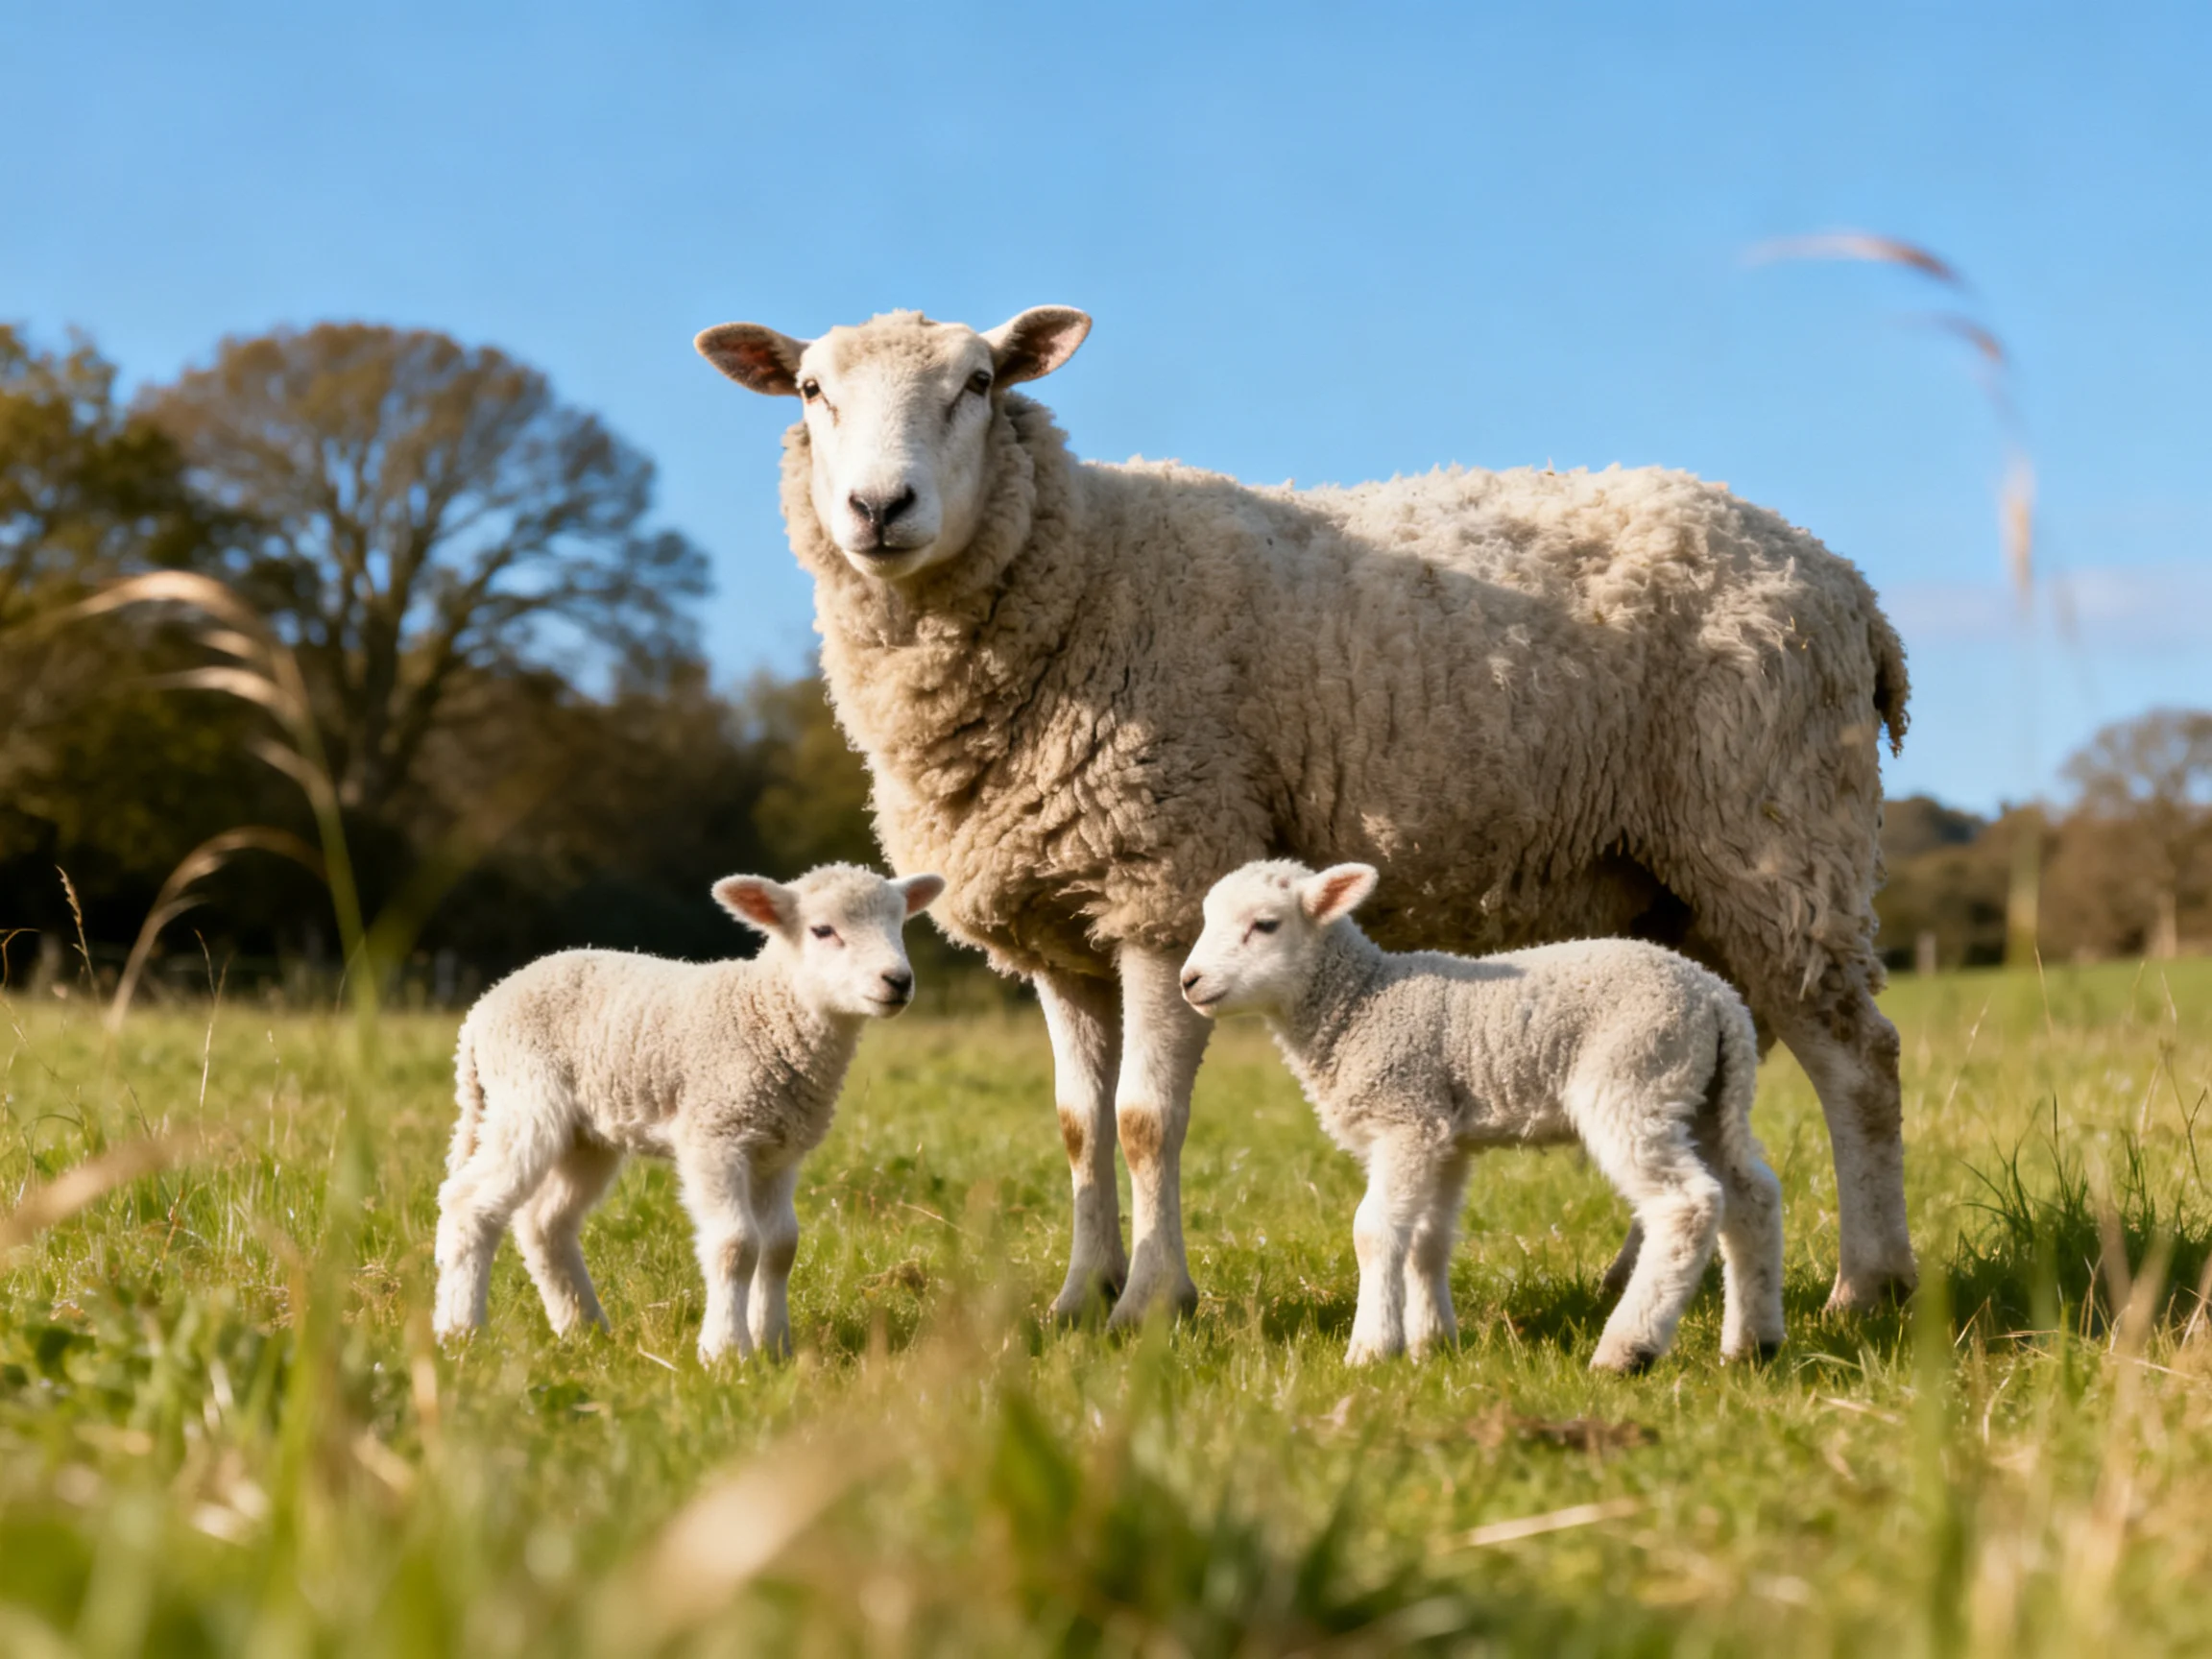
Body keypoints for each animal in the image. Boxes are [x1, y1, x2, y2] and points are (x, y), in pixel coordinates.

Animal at [431, 864, 945, 1361]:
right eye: (822, 930)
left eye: (898, 924)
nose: (898, 981)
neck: (765, 1013)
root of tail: (481, 1011)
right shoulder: (715, 1134)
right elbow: (737, 1245)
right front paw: (726, 1352)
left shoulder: (778, 1151)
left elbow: (781, 1246)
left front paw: (775, 1347)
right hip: (526, 1100)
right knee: (469, 1204)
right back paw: (461, 1331)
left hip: (585, 1135)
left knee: (545, 1223)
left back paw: (585, 1330)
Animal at [1180, 859, 1785, 1369]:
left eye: (1265, 924)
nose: (1189, 981)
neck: (1360, 1002)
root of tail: (1717, 996)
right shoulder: (1443, 1133)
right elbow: (1428, 1239)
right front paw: (1432, 1345)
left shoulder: (1405, 1116)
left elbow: (1375, 1231)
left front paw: (1371, 1350)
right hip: (1703, 1094)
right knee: (1751, 1196)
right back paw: (1753, 1345)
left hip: (1634, 1078)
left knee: (1687, 1205)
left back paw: (1626, 1351)